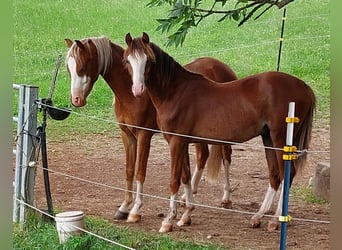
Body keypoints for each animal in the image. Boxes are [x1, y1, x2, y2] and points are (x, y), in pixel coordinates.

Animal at [65, 35, 239, 223]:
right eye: (69, 69)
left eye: (82, 67)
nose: (76, 100)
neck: (131, 94)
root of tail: (222, 67)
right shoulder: (127, 136)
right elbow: (129, 171)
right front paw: (123, 208)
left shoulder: (144, 135)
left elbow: (140, 172)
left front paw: (135, 210)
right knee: (203, 156)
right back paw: (187, 197)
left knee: (226, 157)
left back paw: (226, 198)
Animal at [123, 32, 316, 233]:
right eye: (127, 60)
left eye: (149, 60)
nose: (138, 89)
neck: (176, 92)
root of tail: (303, 86)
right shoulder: (181, 142)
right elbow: (185, 177)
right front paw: (186, 215)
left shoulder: (176, 142)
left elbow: (174, 180)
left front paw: (168, 220)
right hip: (268, 138)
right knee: (274, 175)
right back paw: (258, 217)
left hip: (280, 139)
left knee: (287, 174)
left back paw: (276, 220)